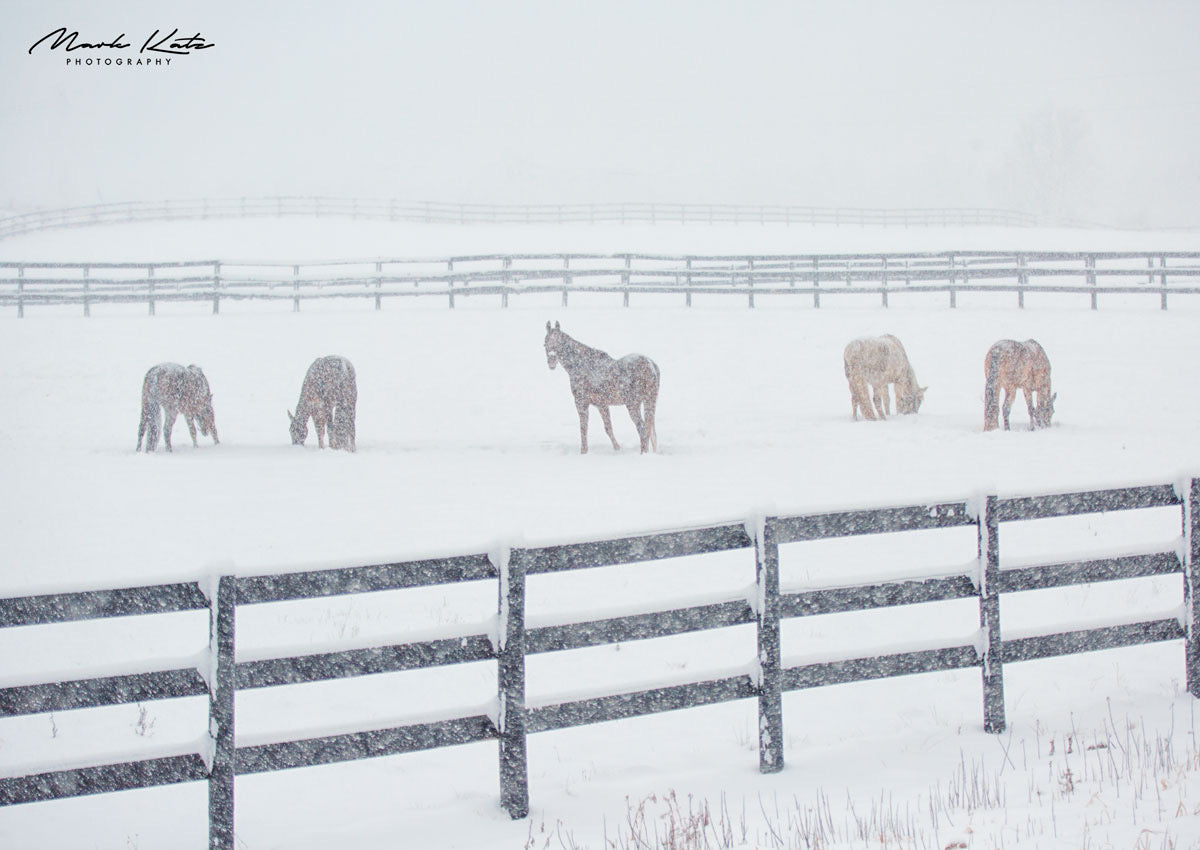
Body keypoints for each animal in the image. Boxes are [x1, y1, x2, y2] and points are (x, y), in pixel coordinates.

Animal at [543, 321, 659, 454]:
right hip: (649, 401)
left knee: (642, 428)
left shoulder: (581, 403)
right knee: (651, 430)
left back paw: (642, 453)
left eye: (560, 343)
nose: (551, 362)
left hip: (633, 404)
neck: (583, 365)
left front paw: (583, 451)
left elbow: (583, 428)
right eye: (545, 343)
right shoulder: (602, 405)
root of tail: (649, 365)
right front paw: (617, 448)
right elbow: (608, 428)